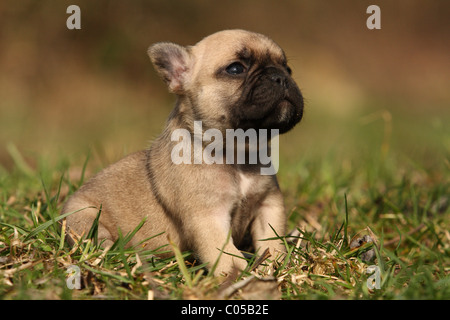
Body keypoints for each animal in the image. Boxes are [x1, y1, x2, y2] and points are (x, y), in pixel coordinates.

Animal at [61, 28, 304, 276]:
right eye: (235, 69)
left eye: (288, 69)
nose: (281, 77)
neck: (236, 152)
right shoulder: (208, 217)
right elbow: (226, 255)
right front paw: (239, 276)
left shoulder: (268, 204)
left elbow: (271, 240)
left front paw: (276, 265)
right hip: (84, 218)